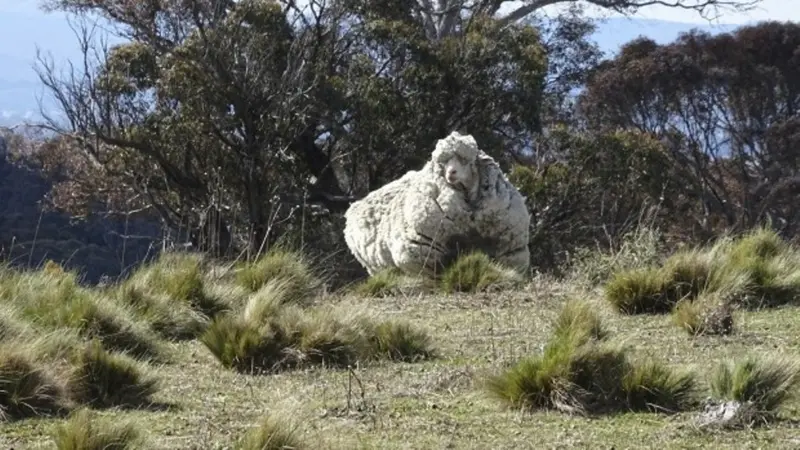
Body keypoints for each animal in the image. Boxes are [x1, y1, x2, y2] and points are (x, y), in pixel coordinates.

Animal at [340, 130, 528, 278]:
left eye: (466, 160)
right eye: (443, 163)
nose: (451, 173)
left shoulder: (508, 250)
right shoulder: (424, 251)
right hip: (376, 266)